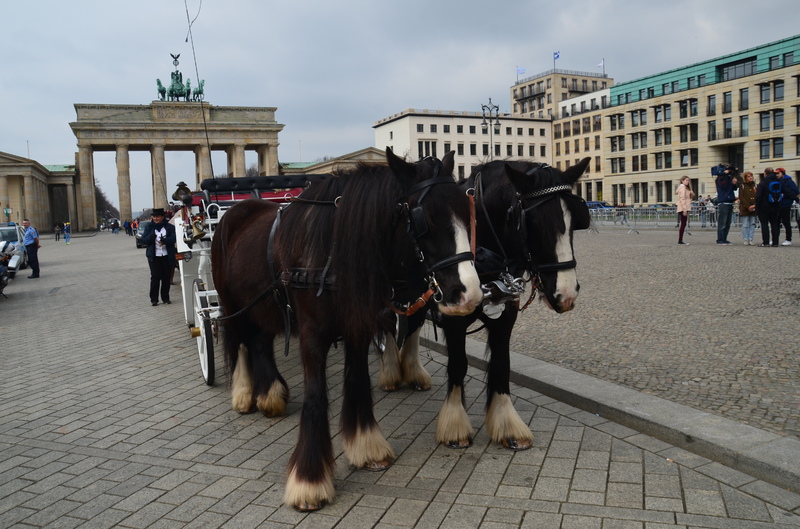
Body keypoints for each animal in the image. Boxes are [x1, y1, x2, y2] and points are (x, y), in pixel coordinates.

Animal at [209, 146, 482, 510]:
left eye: (468, 214)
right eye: (425, 219)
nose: (469, 293)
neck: (329, 251)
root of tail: (235, 210)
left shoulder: (356, 328)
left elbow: (357, 382)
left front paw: (366, 446)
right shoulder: (311, 336)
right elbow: (316, 396)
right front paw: (309, 481)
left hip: (264, 306)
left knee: (260, 343)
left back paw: (269, 395)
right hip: (232, 305)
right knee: (239, 342)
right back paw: (243, 393)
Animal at [378, 156, 592, 450]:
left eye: (574, 220)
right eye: (533, 222)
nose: (566, 293)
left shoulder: (505, 316)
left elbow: (502, 363)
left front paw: (507, 425)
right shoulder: (454, 316)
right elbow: (458, 364)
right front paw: (455, 427)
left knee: (413, 324)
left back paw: (413, 373)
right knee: (388, 323)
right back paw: (390, 372)